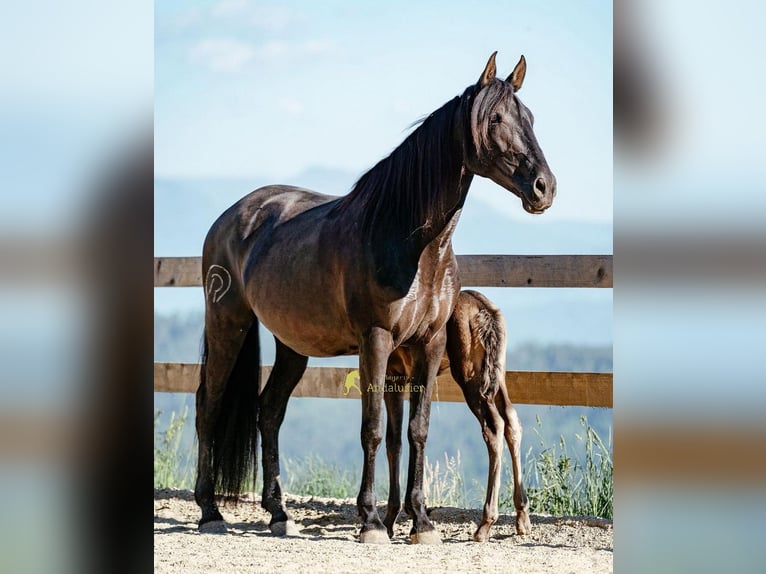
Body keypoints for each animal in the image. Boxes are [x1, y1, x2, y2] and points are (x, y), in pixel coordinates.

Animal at [383, 290, 531, 542]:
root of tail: (487, 314)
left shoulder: (393, 374)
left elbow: (394, 440)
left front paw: (391, 521)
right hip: (495, 374)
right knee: (512, 420)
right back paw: (522, 519)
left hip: (469, 376)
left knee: (494, 426)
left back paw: (485, 525)